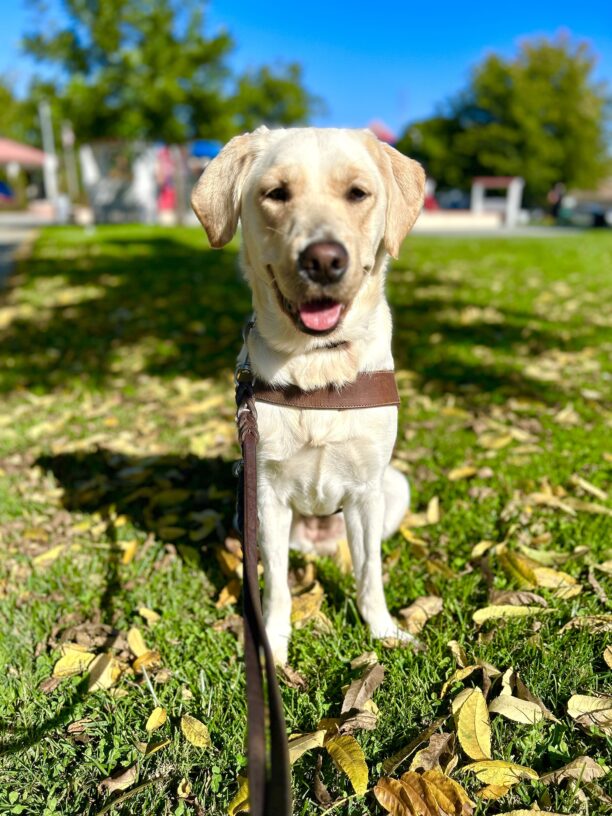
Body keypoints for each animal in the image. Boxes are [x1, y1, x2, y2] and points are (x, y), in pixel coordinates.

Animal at [194, 127, 424, 664]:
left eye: (357, 193)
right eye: (277, 193)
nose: (323, 260)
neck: (318, 361)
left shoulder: (366, 492)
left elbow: (370, 575)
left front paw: (382, 630)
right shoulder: (267, 495)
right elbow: (276, 587)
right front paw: (273, 644)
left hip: (394, 486)